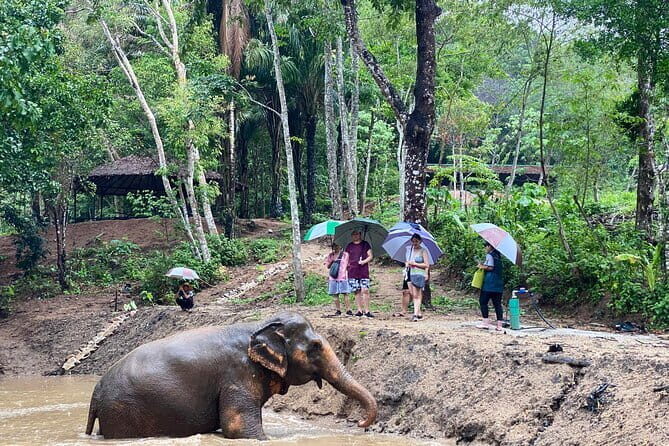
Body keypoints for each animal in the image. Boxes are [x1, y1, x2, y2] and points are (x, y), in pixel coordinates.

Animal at [85, 311, 377, 439]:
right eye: (315, 346)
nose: (359, 424)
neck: (258, 325)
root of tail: (95, 394)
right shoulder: (237, 374)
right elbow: (238, 428)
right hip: (124, 413)